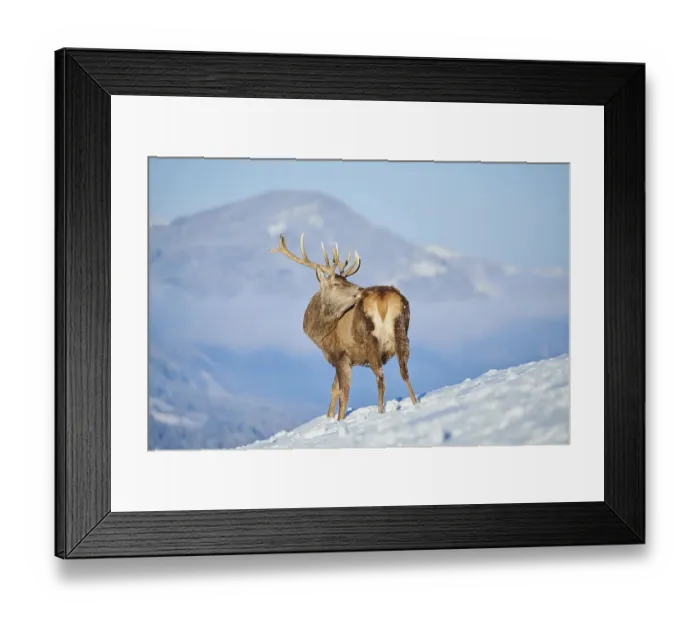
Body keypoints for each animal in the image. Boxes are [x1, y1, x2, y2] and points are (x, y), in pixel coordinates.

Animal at [271, 233, 418, 421]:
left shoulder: (340, 354)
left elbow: (343, 393)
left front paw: (339, 420)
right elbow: (334, 390)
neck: (321, 334)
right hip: (401, 331)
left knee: (380, 377)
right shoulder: (344, 359)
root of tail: (385, 299)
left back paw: (380, 412)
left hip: (371, 339)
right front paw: (328, 418)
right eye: (337, 283)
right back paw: (415, 404)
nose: (361, 289)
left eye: (345, 280)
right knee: (404, 371)